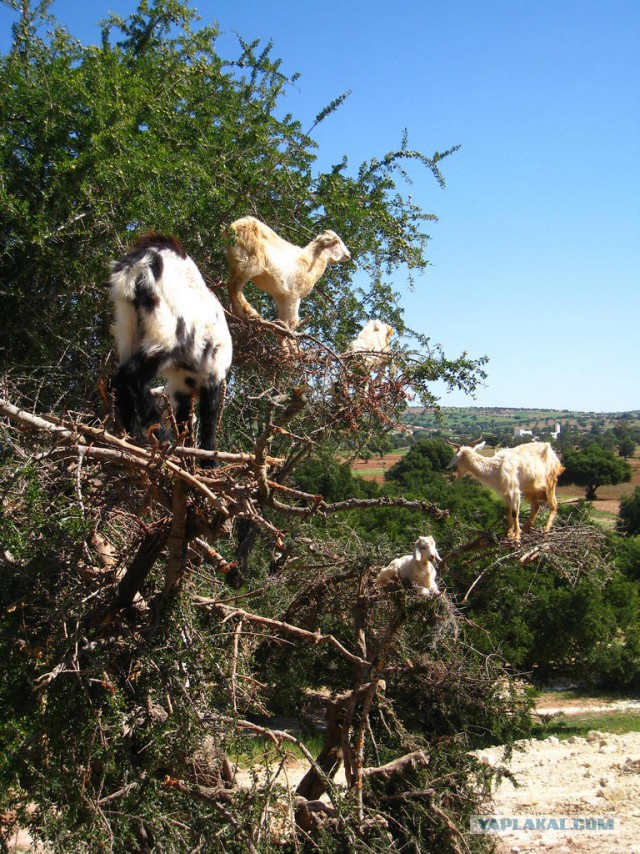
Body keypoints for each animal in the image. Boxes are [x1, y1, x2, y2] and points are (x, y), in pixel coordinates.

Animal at [109, 232, 232, 462]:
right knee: (133, 376)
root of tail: (143, 260)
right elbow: (209, 420)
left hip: (128, 326)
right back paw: (159, 434)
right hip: (167, 334)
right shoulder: (211, 377)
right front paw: (207, 461)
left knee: (119, 378)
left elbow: (185, 421)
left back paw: (134, 436)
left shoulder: (184, 390)